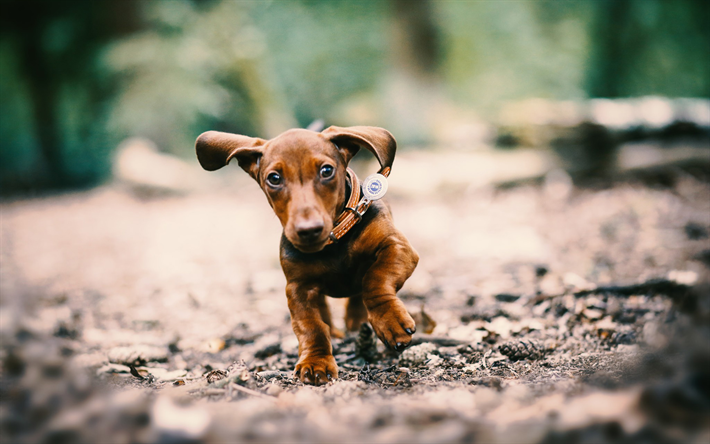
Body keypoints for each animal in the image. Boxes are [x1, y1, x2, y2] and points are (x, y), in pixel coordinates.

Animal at [195, 125, 420, 386]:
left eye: (326, 171)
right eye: (274, 178)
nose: (308, 230)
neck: (334, 241)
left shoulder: (397, 247)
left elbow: (375, 279)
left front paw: (389, 320)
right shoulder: (298, 287)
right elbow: (311, 326)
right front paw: (316, 362)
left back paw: (356, 323)